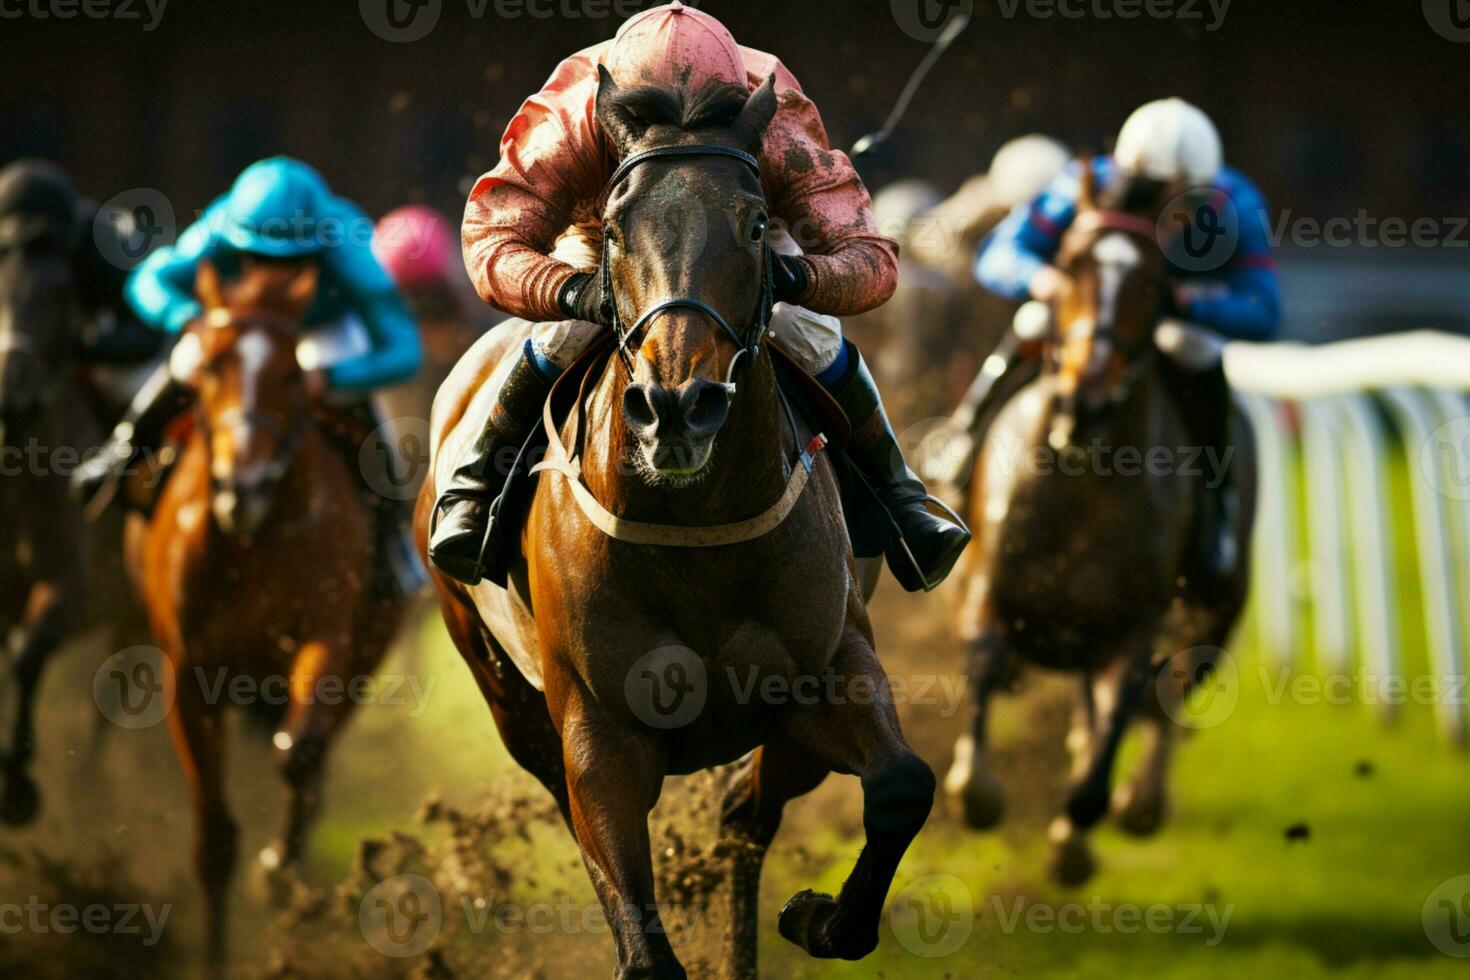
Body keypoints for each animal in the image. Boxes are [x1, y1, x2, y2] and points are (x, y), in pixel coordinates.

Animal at [124, 257, 402, 969]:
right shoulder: (187, 671)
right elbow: (215, 836)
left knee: (313, 760)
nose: (240, 488)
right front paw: (215, 957)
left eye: (292, 375)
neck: (253, 543)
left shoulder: (327, 637)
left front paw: (275, 872)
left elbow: (297, 754)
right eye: (209, 369)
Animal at [420, 70, 934, 980]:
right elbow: (643, 941)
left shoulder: (826, 671)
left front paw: (819, 919)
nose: (676, 407)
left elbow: (902, 787)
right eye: (615, 227)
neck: (697, 531)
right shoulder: (599, 736)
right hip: (506, 696)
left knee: (750, 815)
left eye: (757, 223)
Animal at [946, 164, 1258, 887]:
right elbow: (976, 735)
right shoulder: (987, 596)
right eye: (1068, 264)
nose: (1082, 400)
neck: (1081, 485)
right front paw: (982, 792)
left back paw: (1142, 801)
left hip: (1217, 605)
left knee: (1169, 697)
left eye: (1152, 283)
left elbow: (1104, 754)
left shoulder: (1133, 630)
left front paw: (1072, 843)